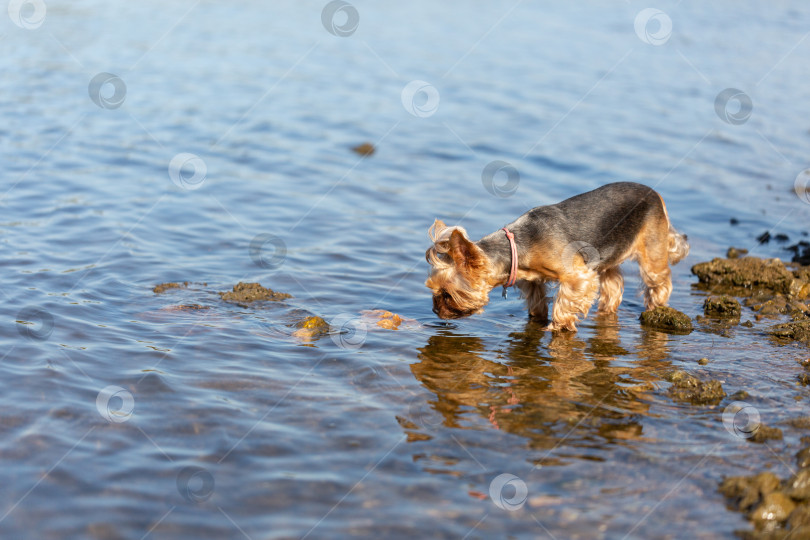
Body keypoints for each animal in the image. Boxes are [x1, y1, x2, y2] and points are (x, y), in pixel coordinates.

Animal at [426, 184, 684, 332]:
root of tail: (656, 194)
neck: (517, 247)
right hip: (609, 251)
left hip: (652, 249)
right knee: (613, 284)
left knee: (659, 281)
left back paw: (657, 308)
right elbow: (537, 304)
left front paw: (558, 326)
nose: (435, 312)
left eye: (447, 294)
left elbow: (565, 303)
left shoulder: (578, 276)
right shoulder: (531, 281)